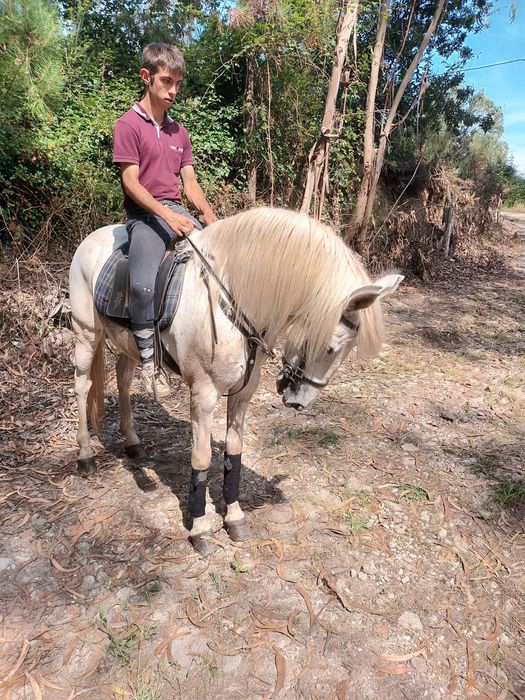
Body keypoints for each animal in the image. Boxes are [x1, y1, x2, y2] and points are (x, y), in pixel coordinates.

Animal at [69, 207, 403, 553]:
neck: (232, 298)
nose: (300, 402)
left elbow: (234, 452)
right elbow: (201, 458)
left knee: (122, 380)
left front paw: (235, 517)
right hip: (86, 334)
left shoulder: (243, 392)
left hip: (127, 345)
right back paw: (85, 456)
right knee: (82, 386)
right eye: (331, 347)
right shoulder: (203, 395)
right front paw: (201, 527)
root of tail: (94, 237)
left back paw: (132, 442)